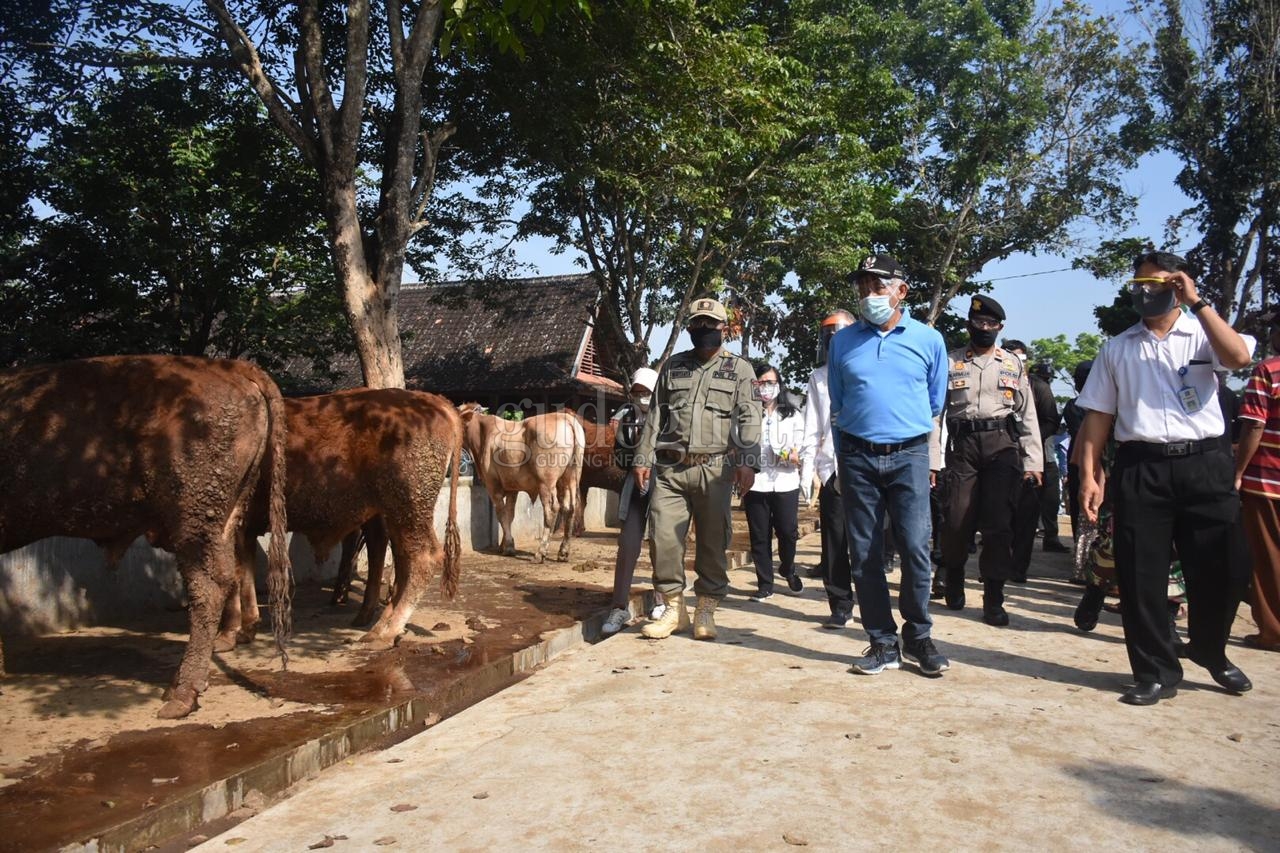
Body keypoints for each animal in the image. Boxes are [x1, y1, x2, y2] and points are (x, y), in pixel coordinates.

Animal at [222, 389, 463, 648]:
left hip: (408, 507)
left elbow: (233, 575)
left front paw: (229, 634)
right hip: (397, 513)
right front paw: (245, 629)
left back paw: (385, 633)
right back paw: (376, 627)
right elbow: (241, 574)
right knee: (401, 559)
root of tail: (435, 401)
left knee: (422, 558)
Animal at [458, 402, 583, 560]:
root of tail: (566, 418)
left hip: (546, 482)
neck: (482, 434)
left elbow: (501, 514)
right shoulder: (512, 487)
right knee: (570, 508)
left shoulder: (493, 485)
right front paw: (504, 545)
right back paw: (563, 552)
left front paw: (508, 547)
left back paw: (541, 552)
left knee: (552, 509)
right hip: (570, 478)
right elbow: (510, 515)